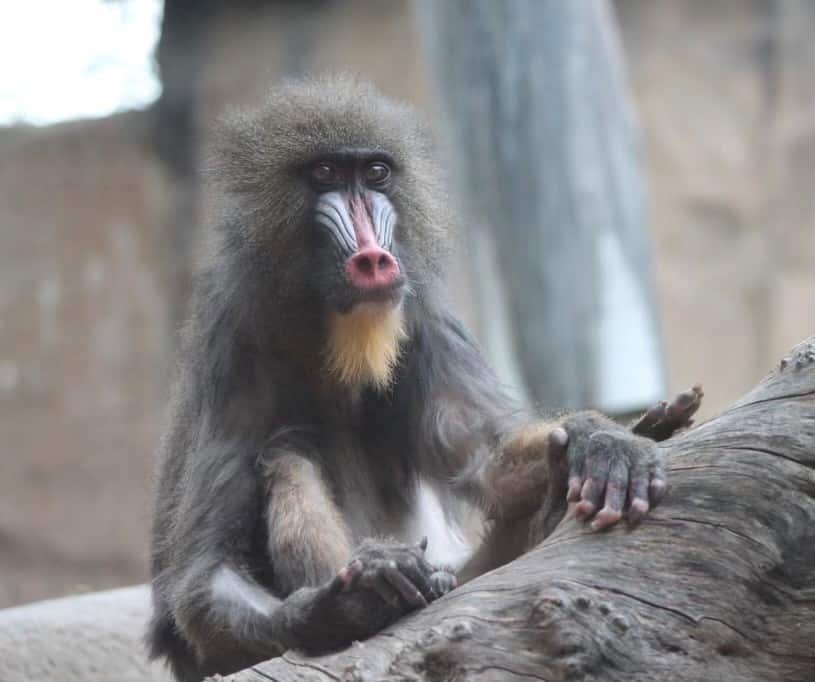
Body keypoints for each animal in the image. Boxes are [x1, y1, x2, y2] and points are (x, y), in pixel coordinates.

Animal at [146, 75, 703, 682]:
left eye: (375, 174)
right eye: (325, 174)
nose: (373, 259)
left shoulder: (424, 318)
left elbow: (487, 458)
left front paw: (600, 441)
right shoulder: (231, 339)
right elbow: (206, 574)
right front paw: (336, 606)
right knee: (286, 457)